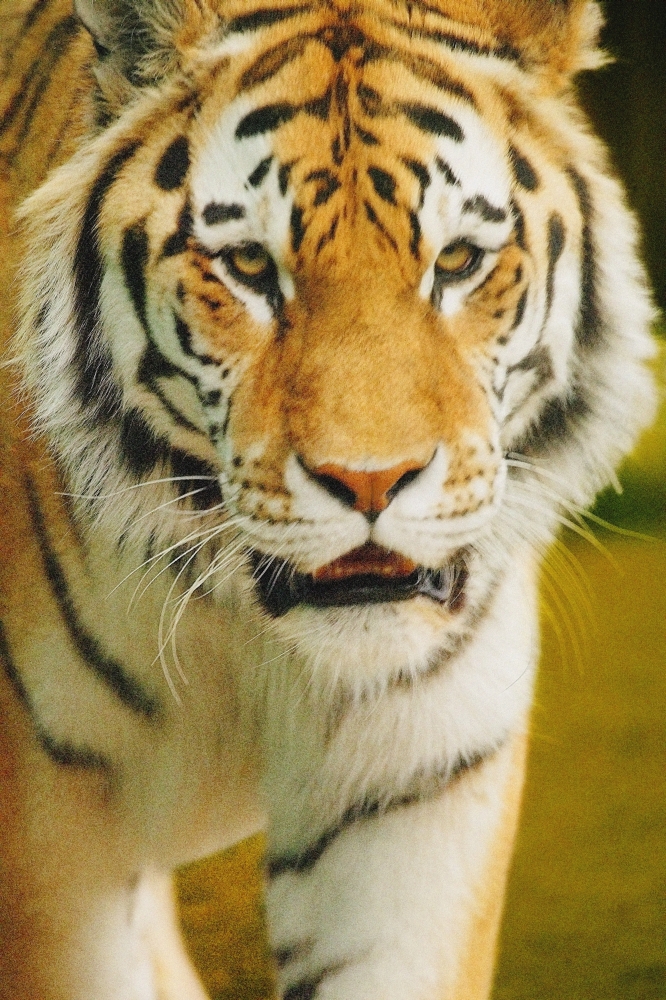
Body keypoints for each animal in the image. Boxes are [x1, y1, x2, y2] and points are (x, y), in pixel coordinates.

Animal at [0, 0, 657, 997]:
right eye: (247, 266)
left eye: (457, 261)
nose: (370, 481)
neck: (252, 638)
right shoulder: (50, 847)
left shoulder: (418, 792)